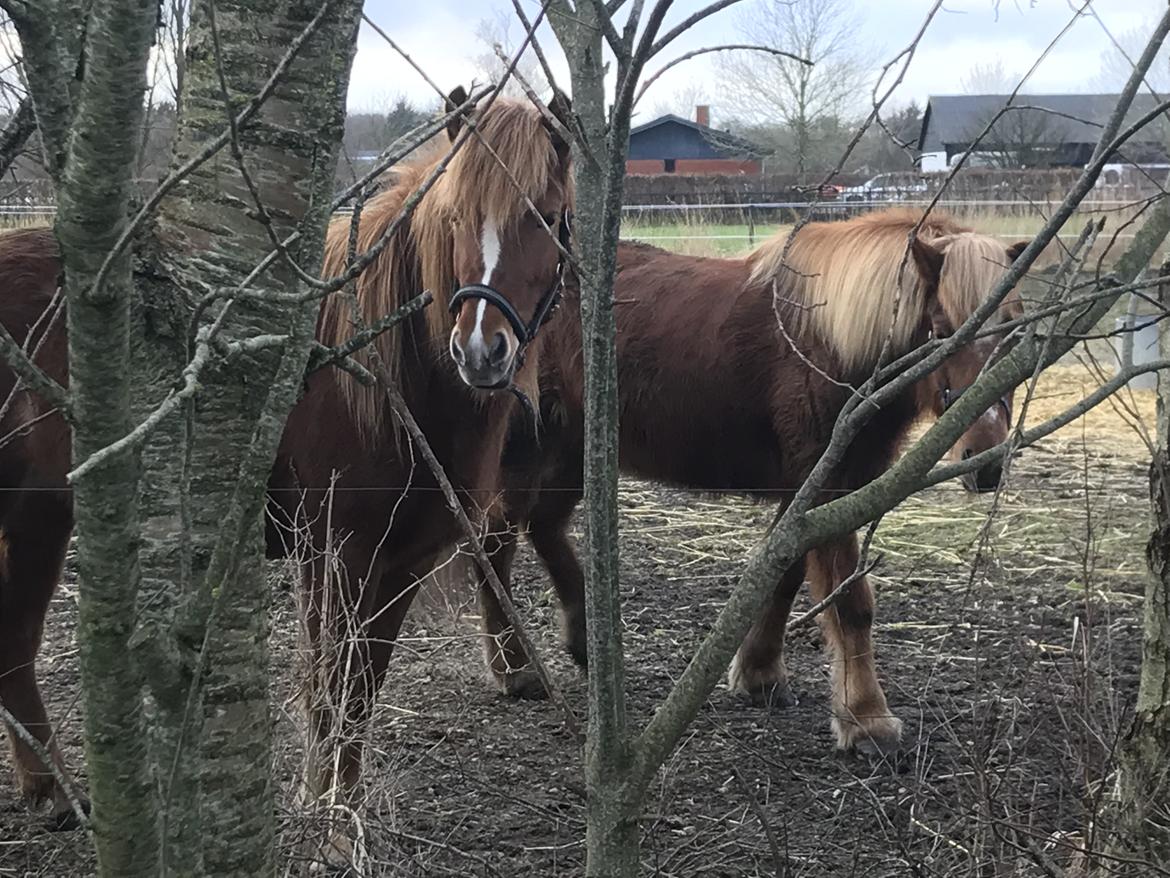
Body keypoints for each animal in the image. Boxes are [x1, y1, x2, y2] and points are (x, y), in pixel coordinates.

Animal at [0, 91, 575, 838]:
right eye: (453, 218)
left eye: (547, 216)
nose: (481, 350)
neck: (376, 375)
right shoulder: (340, 555)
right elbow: (334, 687)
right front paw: (325, 812)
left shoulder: (399, 560)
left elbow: (357, 687)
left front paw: (339, 804)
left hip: (35, 518)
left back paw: (49, 792)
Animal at [475, 211, 1024, 758]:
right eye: (943, 330)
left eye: (1016, 335)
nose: (985, 461)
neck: (830, 342)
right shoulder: (824, 487)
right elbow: (850, 605)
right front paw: (867, 719)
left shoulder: (809, 497)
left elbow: (781, 577)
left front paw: (759, 673)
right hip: (529, 451)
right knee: (493, 542)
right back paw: (515, 667)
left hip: (571, 453)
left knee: (543, 527)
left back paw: (584, 639)